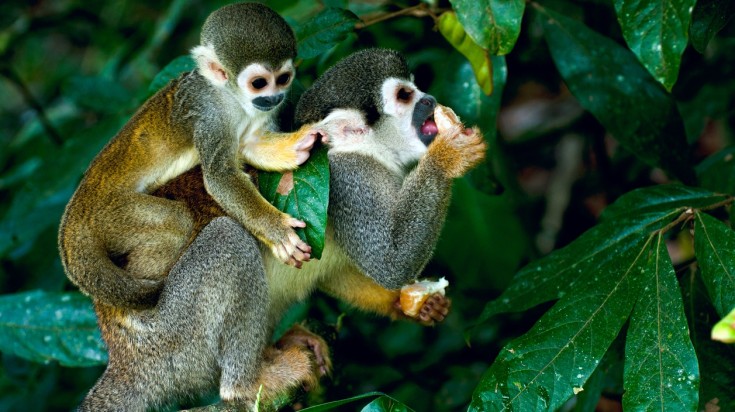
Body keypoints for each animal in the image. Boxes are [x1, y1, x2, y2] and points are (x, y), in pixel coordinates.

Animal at [58, 2, 317, 311]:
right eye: (259, 83)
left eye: (283, 79)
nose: (274, 98)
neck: (230, 97)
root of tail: (76, 213)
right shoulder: (208, 114)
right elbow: (220, 177)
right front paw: (276, 229)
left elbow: (249, 145)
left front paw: (298, 144)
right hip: (110, 215)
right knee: (178, 221)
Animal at [76, 48, 486, 411]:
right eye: (404, 95)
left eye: (415, 87)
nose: (430, 99)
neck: (367, 152)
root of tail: (124, 360)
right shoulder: (348, 181)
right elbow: (388, 263)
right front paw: (448, 155)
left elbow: (338, 271)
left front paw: (410, 303)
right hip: (172, 341)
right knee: (227, 239)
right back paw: (245, 385)